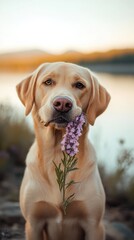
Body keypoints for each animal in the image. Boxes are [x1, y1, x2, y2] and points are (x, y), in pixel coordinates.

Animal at [16, 62, 111, 240]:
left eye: (79, 85)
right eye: (48, 82)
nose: (62, 103)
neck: (57, 154)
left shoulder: (94, 225)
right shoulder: (33, 223)